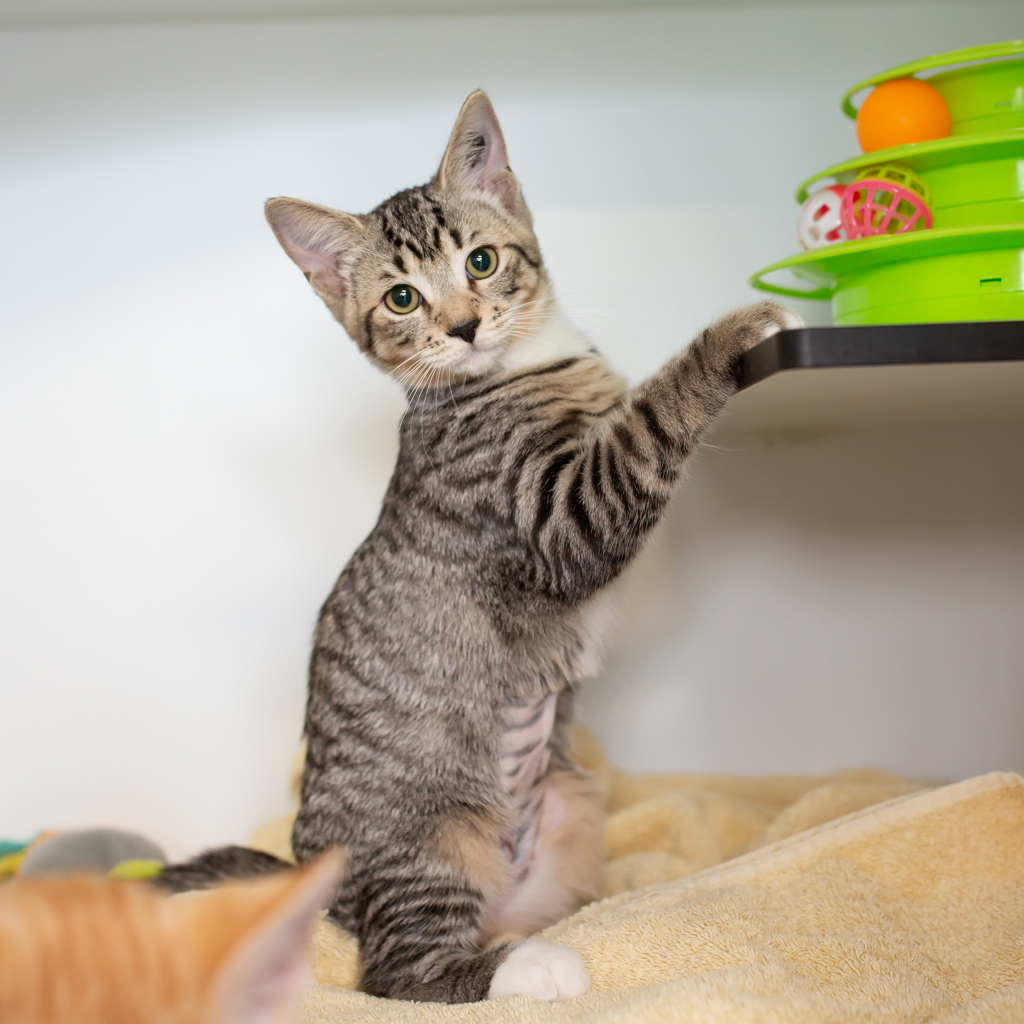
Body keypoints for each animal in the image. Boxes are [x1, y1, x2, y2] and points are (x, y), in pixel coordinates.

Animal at [157, 90, 799, 1004]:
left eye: (484, 261)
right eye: (399, 299)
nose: (462, 326)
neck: (520, 368)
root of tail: (315, 885)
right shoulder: (563, 517)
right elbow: (647, 424)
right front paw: (737, 330)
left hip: (573, 802)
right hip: (432, 837)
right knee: (397, 972)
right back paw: (530, 964)